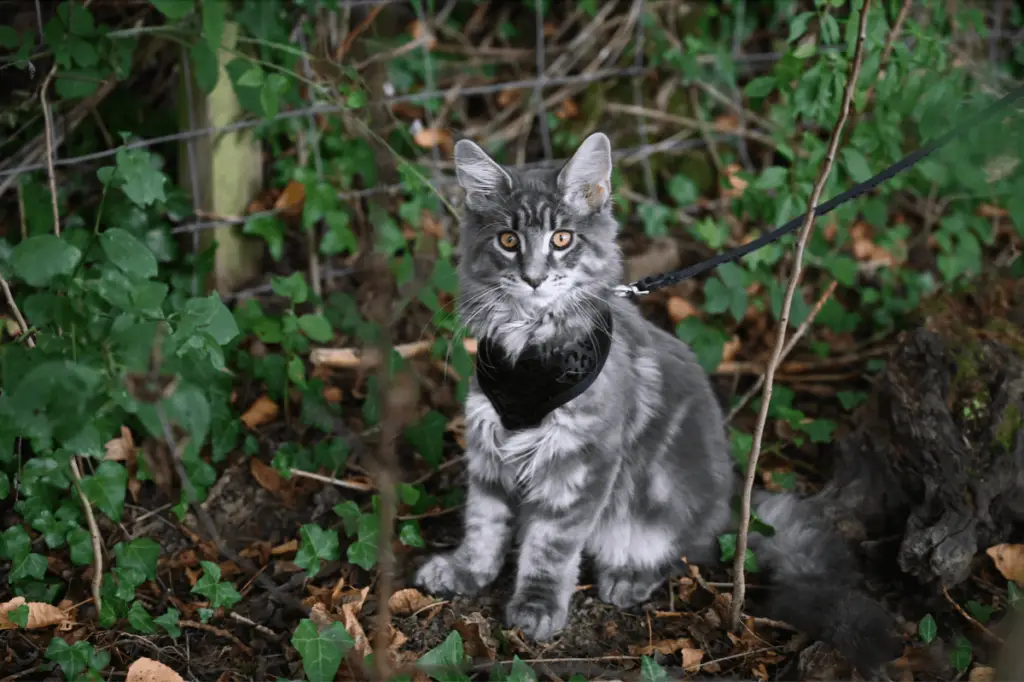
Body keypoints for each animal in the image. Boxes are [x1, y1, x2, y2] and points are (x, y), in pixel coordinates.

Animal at [409, 131, 905, 667]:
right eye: (508, 241)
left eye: (562, 239)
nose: (534, 277)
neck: (530, 346)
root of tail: (729, 501)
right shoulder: (489, 445)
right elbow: (484, 524)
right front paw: (466, 572)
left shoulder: (582, 463)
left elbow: (551, 546)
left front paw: (536, 606)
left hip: (653, 513)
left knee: (685, 552)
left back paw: (629, 576)